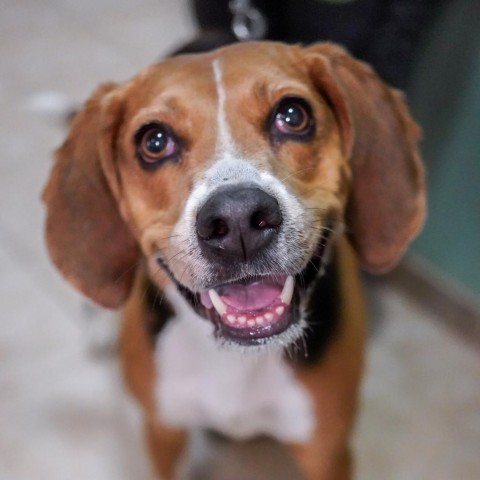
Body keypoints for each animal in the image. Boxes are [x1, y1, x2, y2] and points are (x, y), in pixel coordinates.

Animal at [41, 42, 424, 480]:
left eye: (293, 115)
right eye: (154, 142)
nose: (238, 218)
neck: (237, 360)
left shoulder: (327, 451)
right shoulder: (163, 431)